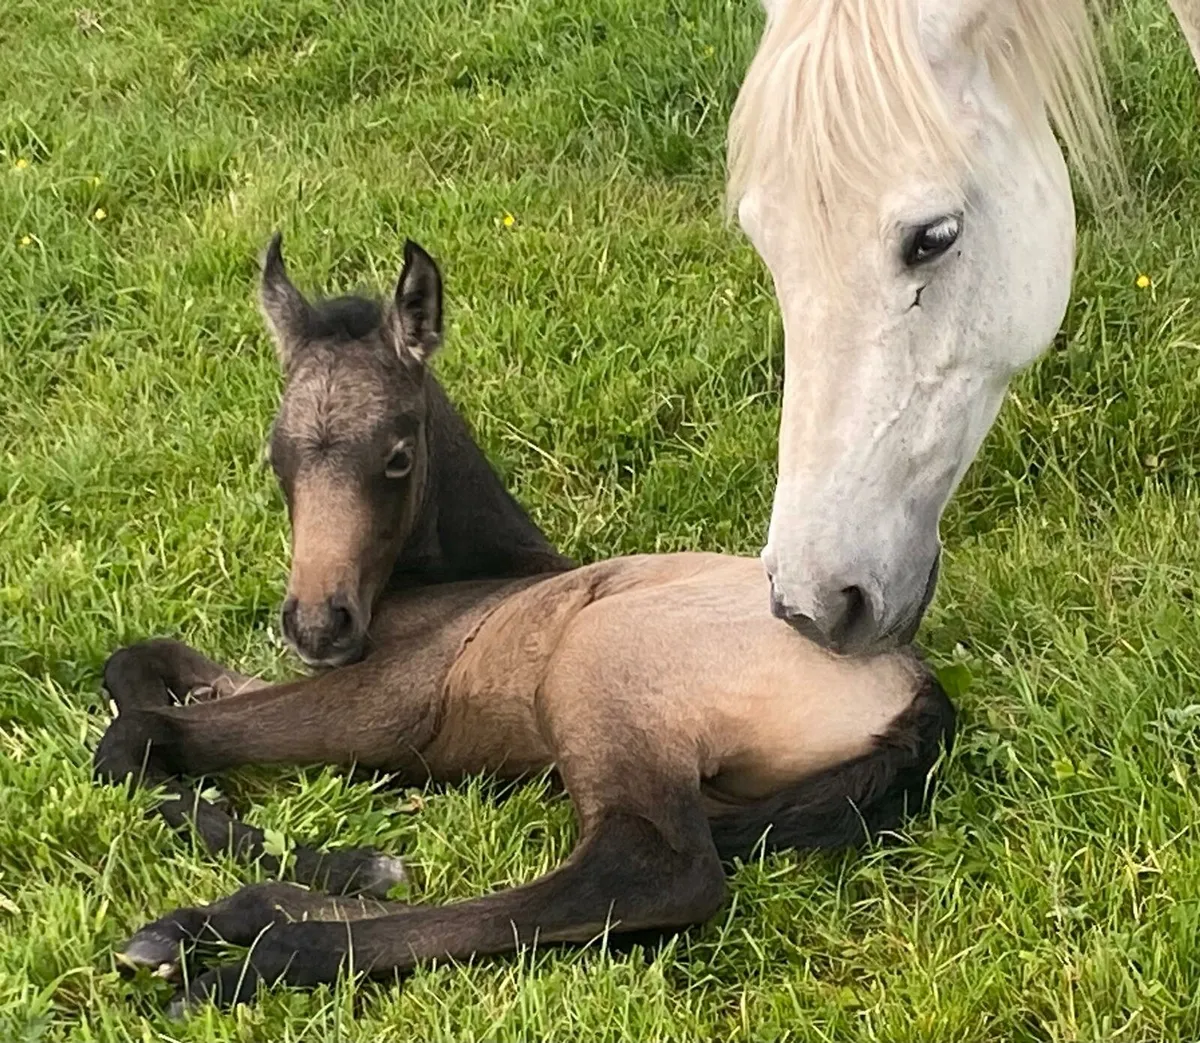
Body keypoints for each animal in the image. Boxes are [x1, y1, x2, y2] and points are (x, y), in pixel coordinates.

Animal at [94, 236, 955, 1014]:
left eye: (396, 456)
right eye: (278, 457)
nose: (316, 624)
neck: (463, 584)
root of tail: (915, 681)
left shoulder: (392, 703)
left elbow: (135, 734)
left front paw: (354, 860)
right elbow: (139, 663)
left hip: (600, 662)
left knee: (644, 873)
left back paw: (262, 951)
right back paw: (210, 922)